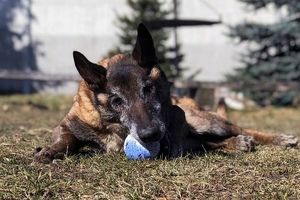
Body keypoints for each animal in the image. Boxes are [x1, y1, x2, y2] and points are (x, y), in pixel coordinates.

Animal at [34, 23, 298, 164]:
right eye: (116, 100)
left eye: (148, 89)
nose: (150, 134)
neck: (113, 125)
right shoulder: (67, 124)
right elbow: (66, 139)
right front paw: (50, 150)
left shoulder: (177, 128)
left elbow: (186, 143)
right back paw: (236, 143)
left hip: (202, 120)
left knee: (239, 129)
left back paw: (277, 139)